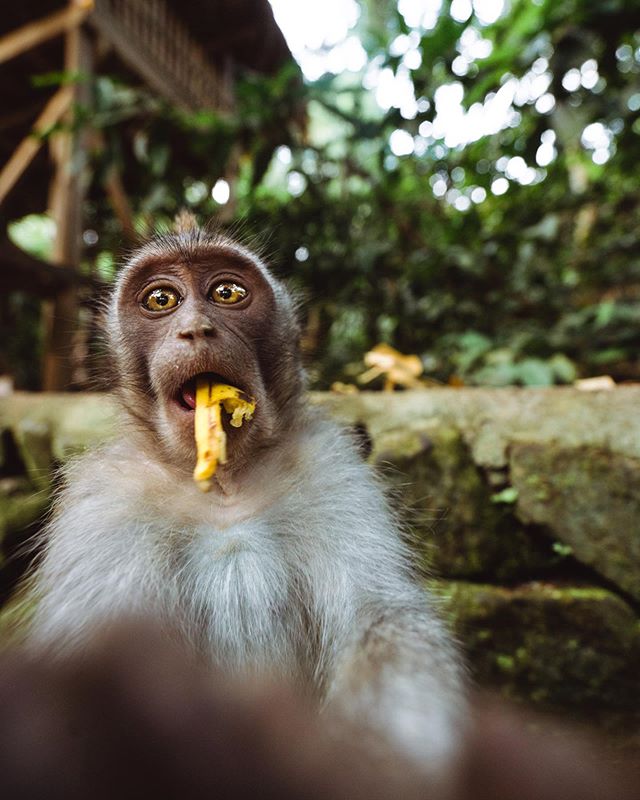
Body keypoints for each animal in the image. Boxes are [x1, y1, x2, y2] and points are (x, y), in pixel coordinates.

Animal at [20, 217, 468, 776]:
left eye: (227, 293)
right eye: (161, 299)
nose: (195, 330)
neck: (222, 486)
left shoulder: (333, 474)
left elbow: (382, 620)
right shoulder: (104, 505)